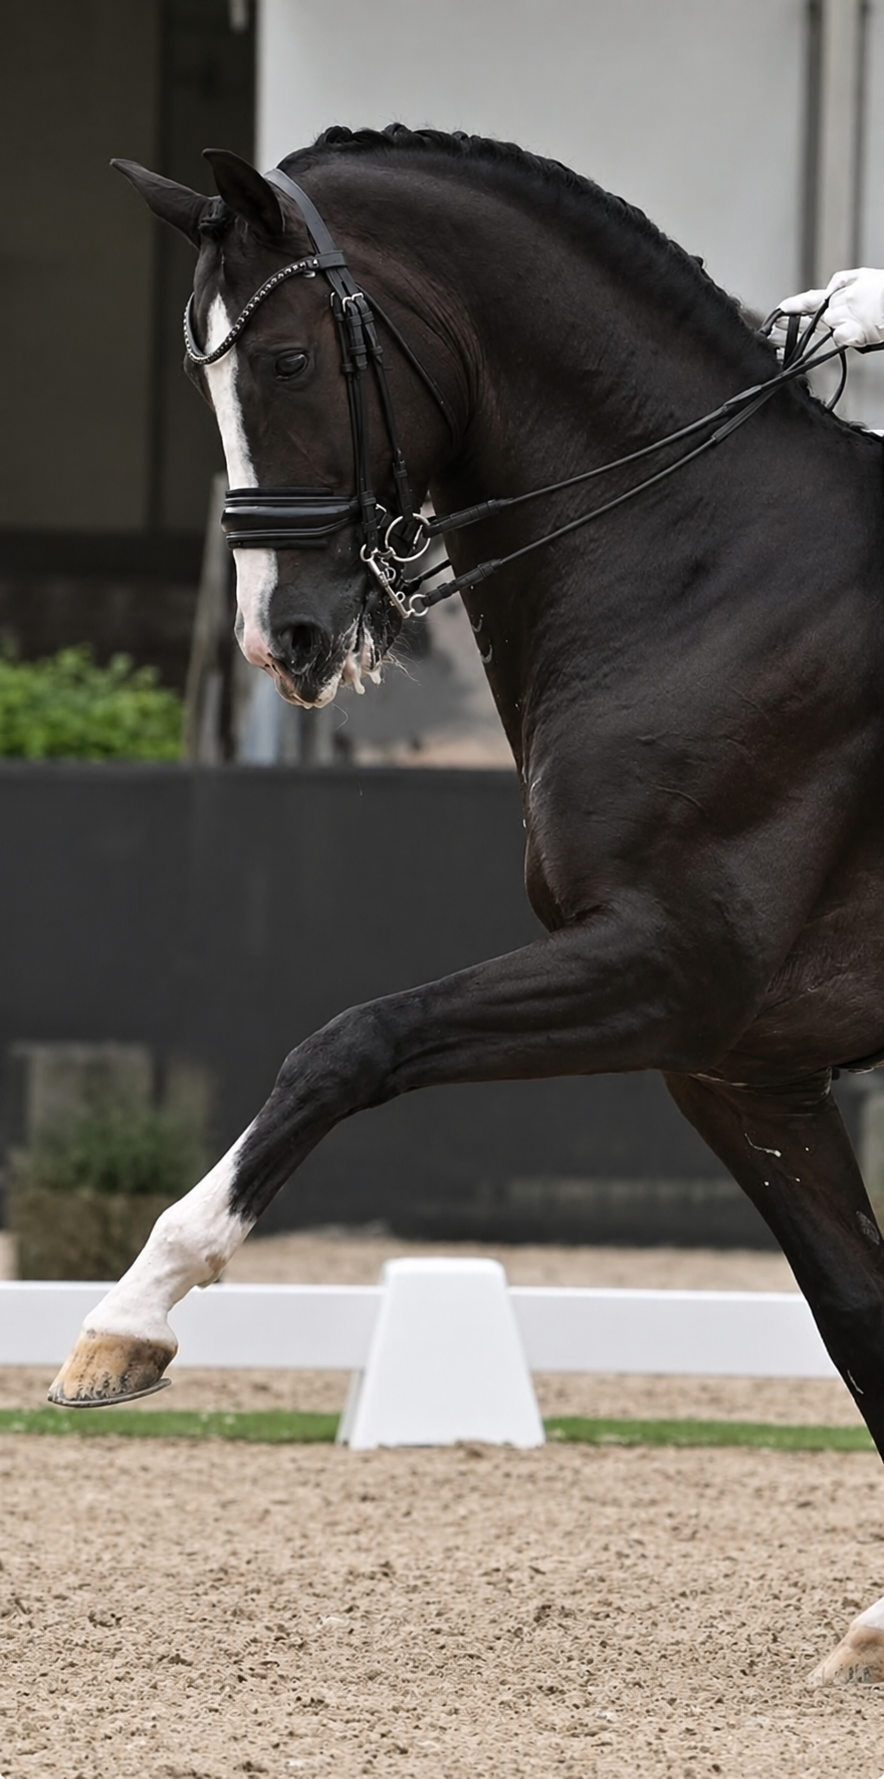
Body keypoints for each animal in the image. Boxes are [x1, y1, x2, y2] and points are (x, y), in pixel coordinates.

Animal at [49, 125, 884, 1684]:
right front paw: (873, 1622)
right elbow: (859, 1314)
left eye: (293, 362)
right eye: (205, 380)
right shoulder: (739, 1060)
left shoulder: (669, 967)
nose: (286, 639)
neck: (709, 565)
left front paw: (128, 1318)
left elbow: (347, 1043)